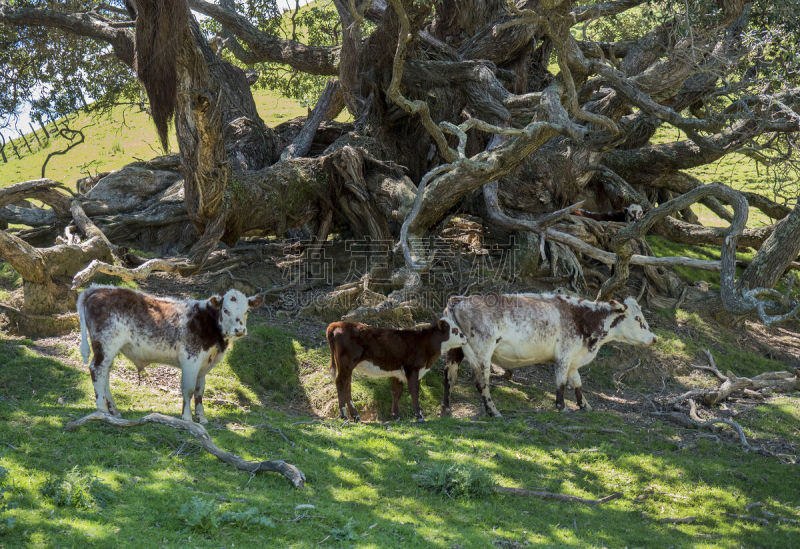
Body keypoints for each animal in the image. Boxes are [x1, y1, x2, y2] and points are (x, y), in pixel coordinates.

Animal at [76, 284, 262, 422]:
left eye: (246, 310)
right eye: (226, 310)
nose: (240, 330)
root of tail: (97, 289)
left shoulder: (203, 365)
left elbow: (199, 390)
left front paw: (201, 417)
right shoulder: (191, 359)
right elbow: (188, 389)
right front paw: (187, 418)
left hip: (109, 349)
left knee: (105, 373)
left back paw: (113, 409)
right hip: (105, 344)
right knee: (97, 370)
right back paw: (102, 409)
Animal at [326, 318, 466, 422]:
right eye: (455, 330)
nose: (465, 337)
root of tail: (338, 324)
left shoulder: (398, 373)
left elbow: (396, 392)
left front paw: (396, 416)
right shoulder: (412, 369)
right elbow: (414, 391)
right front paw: (419, 416)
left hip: (346, 366)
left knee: (345, 384)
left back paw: (350, 416)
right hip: (347, 363)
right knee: (341, 383)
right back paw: (348, 416)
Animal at [444, 296, 656, 416]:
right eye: (638, 319)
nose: (654, 338)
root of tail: (458, 300)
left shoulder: (573, 359)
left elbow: (577, 382)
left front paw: (585, 406)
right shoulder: (564, 355)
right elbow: (561, 382)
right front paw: (561, 406)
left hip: (455, 350)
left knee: (449, 377)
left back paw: (446, 409)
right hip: (482, 352)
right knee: (482, 382)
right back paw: (493, 411)